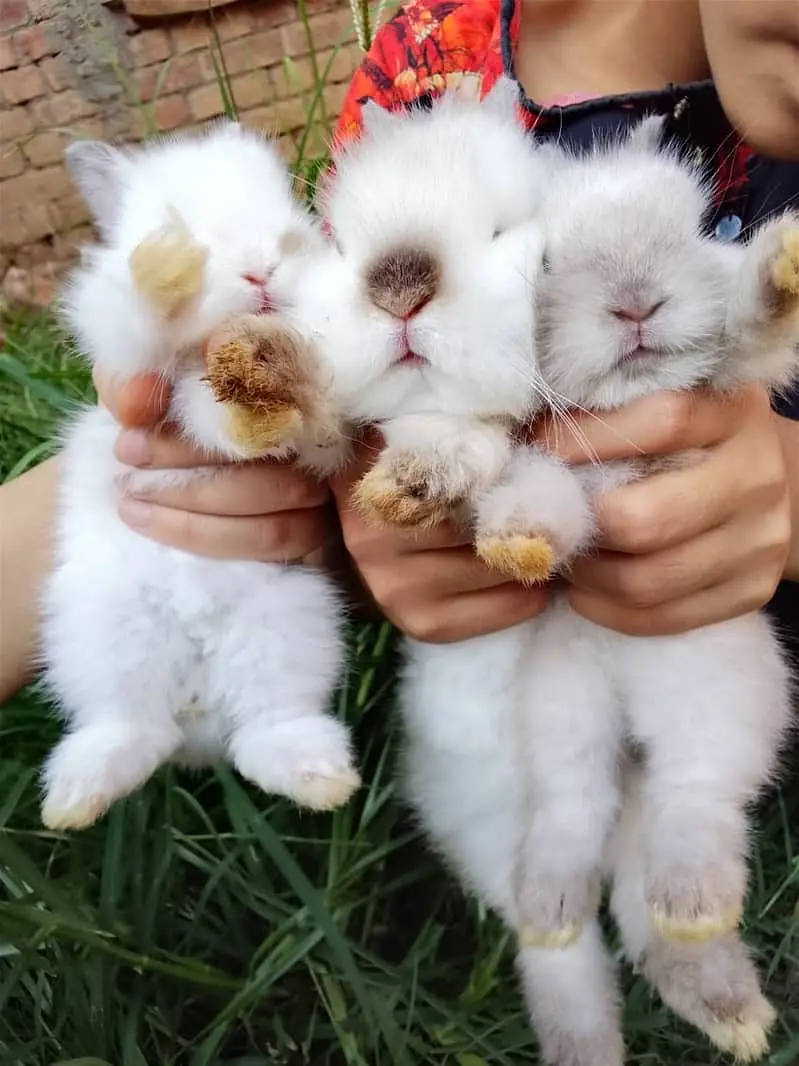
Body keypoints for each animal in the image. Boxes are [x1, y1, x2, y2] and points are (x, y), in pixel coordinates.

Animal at [40, 121, 359, 832]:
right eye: (179, 219)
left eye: (288, 221)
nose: (263, 269)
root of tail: (197, 714)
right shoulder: (132, 357)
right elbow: (140, 324)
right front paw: (164, 267)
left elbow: (250, 423)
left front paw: (274, 402)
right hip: (96, 627)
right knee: (128, 725)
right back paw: (73, 801)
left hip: (292, 623)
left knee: (263, 732)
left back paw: (324, 783)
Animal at [436, 116, 796, 1064]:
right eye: (547, 262)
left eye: (702, 230)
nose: (635, 305)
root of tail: (631, 717)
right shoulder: (556, 473)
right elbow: (544, 505)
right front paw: (516, 543)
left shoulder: (731, 367)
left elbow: (751, 329)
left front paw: (784, 267)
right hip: (564, 709)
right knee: (575, 814)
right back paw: (555, 911)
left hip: (719, 692)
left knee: (692, 802)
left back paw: (707, 942)